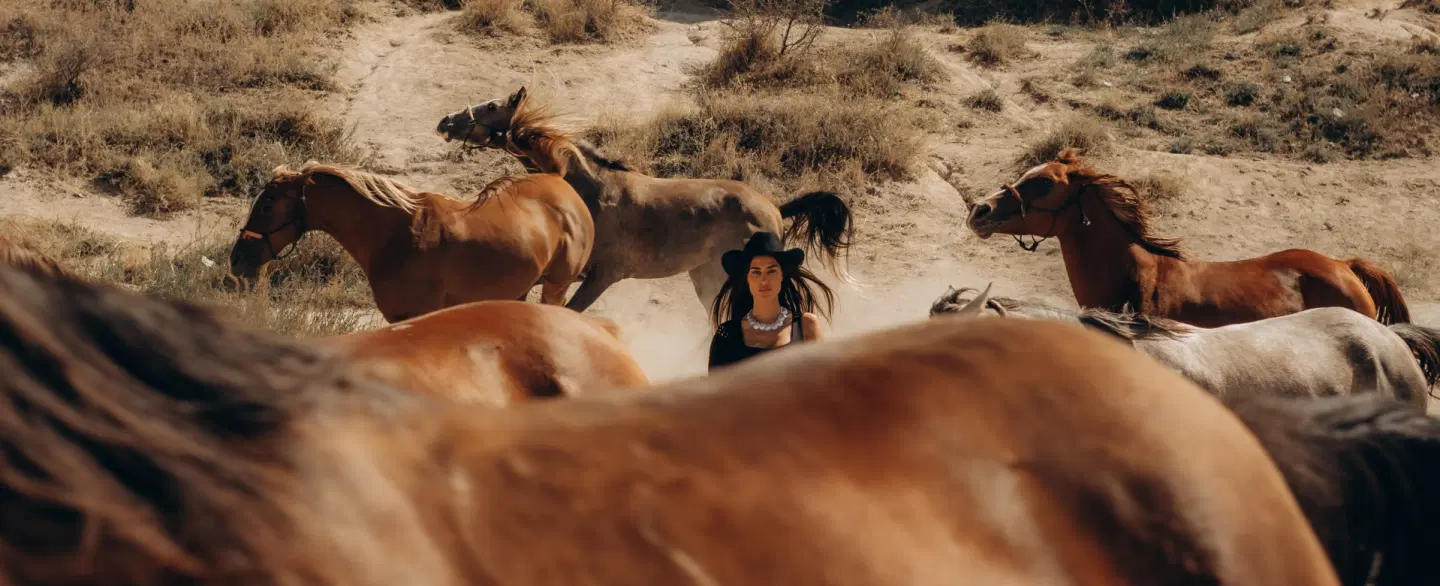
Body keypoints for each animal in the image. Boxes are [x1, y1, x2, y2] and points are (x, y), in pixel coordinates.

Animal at [434, 86, 856, 313]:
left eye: (492, 106)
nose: (445, 121)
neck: (589, 193)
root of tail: (774, 210)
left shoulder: (599, 277)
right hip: (706, 276)